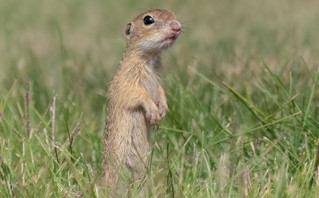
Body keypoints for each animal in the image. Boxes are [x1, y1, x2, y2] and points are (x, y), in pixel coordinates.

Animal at [102, 8, 182, 190]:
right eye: (148, 20)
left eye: (173, 14)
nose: (177, 27)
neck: (150, 59)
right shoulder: (127, 78)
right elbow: (136, 94)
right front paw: (153, 112)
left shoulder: (158, 80)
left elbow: (159, 91)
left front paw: (163, 109)